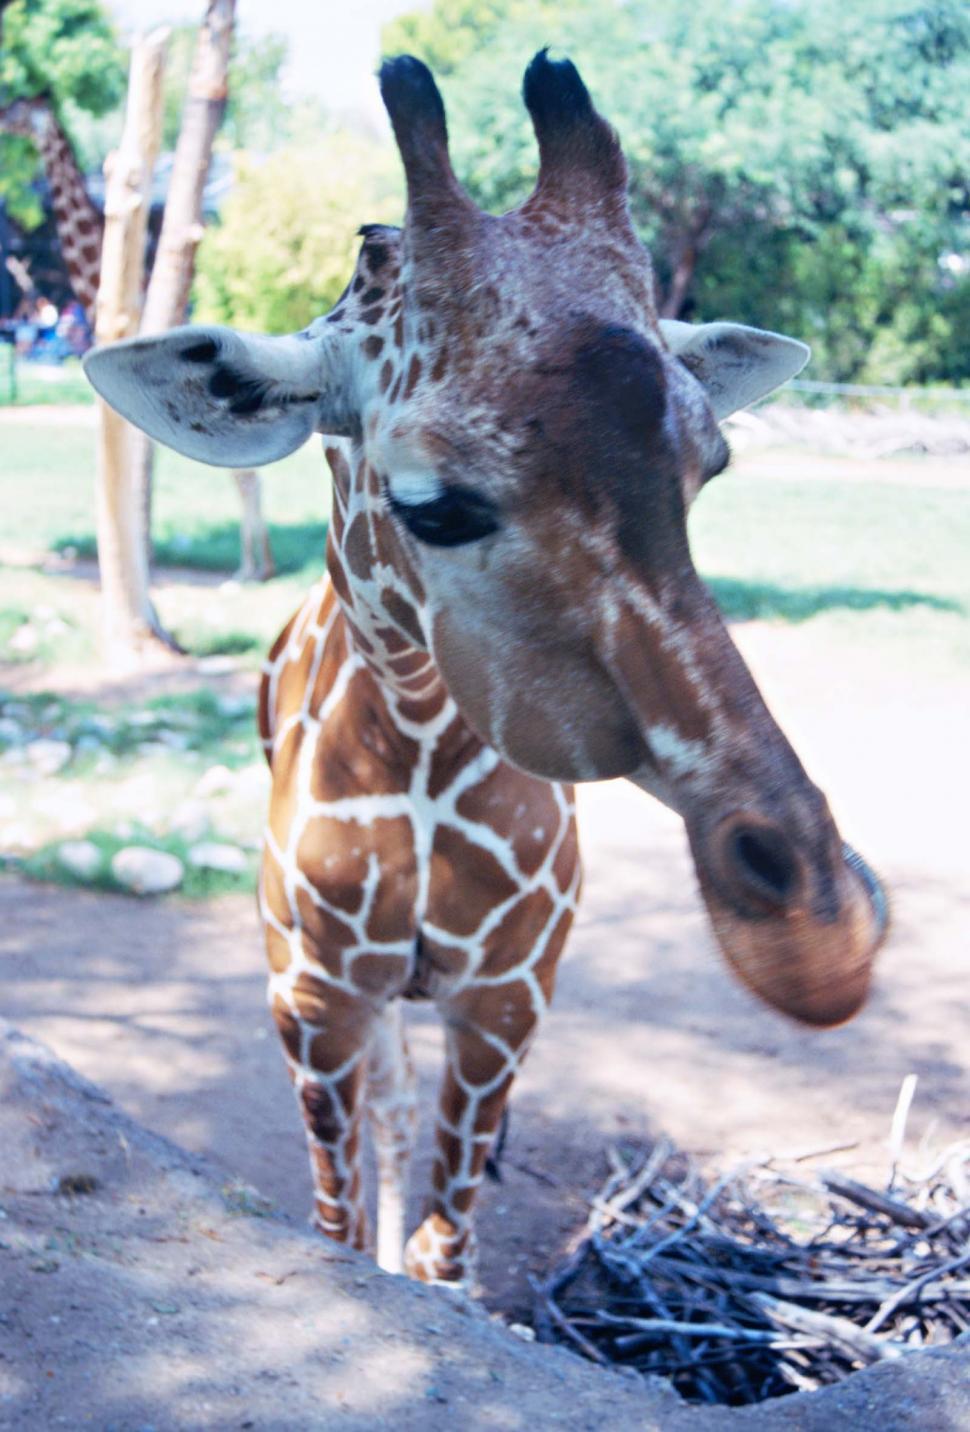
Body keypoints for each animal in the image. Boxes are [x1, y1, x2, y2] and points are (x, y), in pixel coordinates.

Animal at [83, 52, 882, 1288]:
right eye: (435, 503)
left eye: (706, 468)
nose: (818, 930)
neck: (415, 743)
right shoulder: (308, 994)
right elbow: (332, 1220)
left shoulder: (508, 999)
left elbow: (442, 1243)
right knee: (387, 1110)